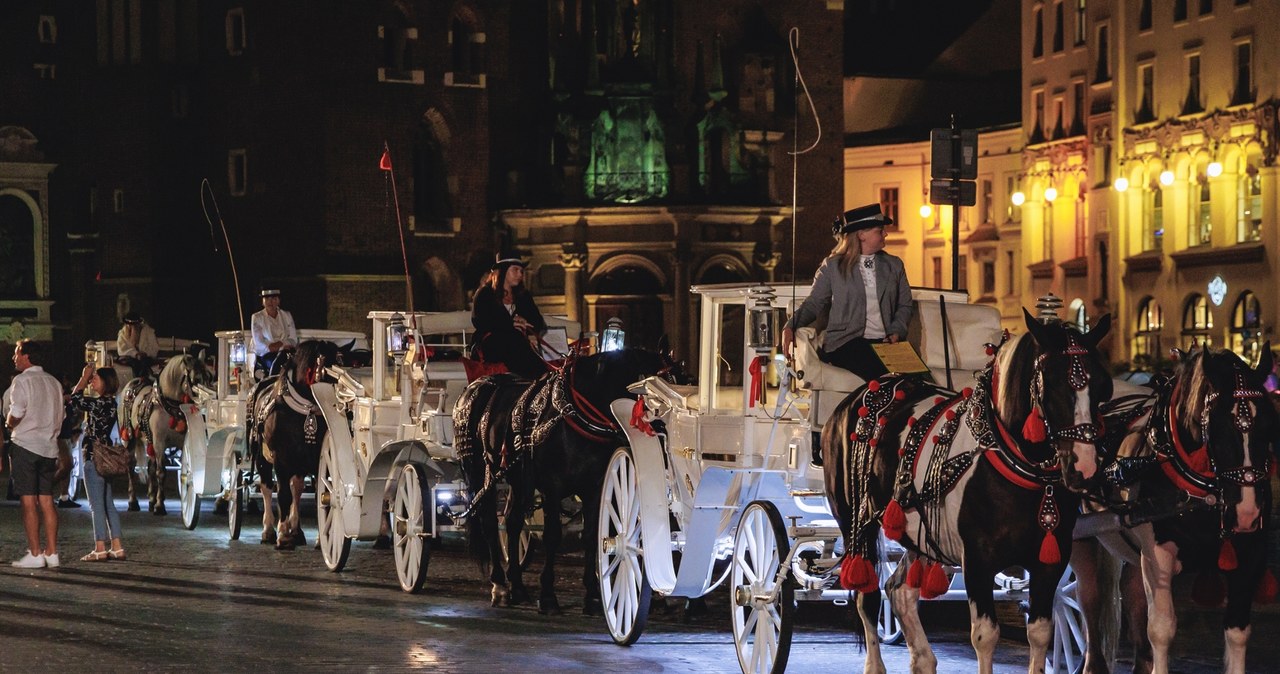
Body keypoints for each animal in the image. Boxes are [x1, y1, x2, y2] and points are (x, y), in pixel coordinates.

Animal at [120, 350, 212, 514]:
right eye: (196, 379)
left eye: (209, 376)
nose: (209, 401)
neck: (169, 407)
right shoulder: (159, 443)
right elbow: (161, 472)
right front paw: (159, 505)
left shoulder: (182, 443)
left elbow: (180, 468)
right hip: (129, 438)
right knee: (131, 466)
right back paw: (133, 502)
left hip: (148, 440)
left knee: (150, 467)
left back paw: (150, 500)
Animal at [245, 340, 340, 552]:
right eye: (325, 368)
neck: (305, 412)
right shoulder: (281, 458)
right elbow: (283, 495)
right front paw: (283, 536)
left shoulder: (318, 458)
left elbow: (319, 496)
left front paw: (320, 539)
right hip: (263, 458)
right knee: (266, 487)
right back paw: (269, 531)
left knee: (296, 488)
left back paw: (296, 531)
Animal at [458, 347, 686, 616]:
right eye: (658, 393)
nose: (675, 437)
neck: (578, 416)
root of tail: (485, 383)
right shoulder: (552, 488)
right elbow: (552, 535)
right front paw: (547, 595)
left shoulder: (594, 489)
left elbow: (591, 535)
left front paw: (593, 596)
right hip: (486, 470)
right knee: (490, 523)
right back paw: (500, 586)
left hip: (517, 478)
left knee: (512, 522)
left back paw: (517, 586)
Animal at [824, 309, 1116, 674]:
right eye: (1053, 384)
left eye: (1103, 387)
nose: (1085, 468)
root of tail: (863, 394)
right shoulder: (977, 560)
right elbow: (985, 636)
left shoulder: (1051, 560)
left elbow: (1041, 633)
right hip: (855, 522)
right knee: (868, 594)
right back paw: (875, 664)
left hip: (920, 530)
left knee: (899, 591)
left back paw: (923, 659)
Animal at [1080, 347, 1280, 674]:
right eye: (1219, 428)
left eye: (1270, 423)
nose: (1247, 513)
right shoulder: (1157, 554)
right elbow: (1161, 628)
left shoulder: (1251, 551)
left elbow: (1238, 632)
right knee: (1089, 600)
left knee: (1131, 596)